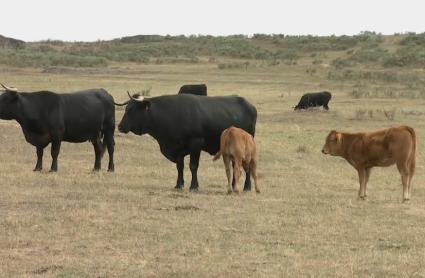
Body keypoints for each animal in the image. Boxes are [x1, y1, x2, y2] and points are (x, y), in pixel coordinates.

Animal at [116, 93, 255, 191]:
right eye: (126, 108)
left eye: (131, 110)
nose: (120, 126)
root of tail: (250, 106)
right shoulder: (178, 149)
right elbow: (180, 166)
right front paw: (179, 185)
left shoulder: (196, 144)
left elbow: (193, 166)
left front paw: (193, 186)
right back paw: (234, 185)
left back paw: (247, 187)